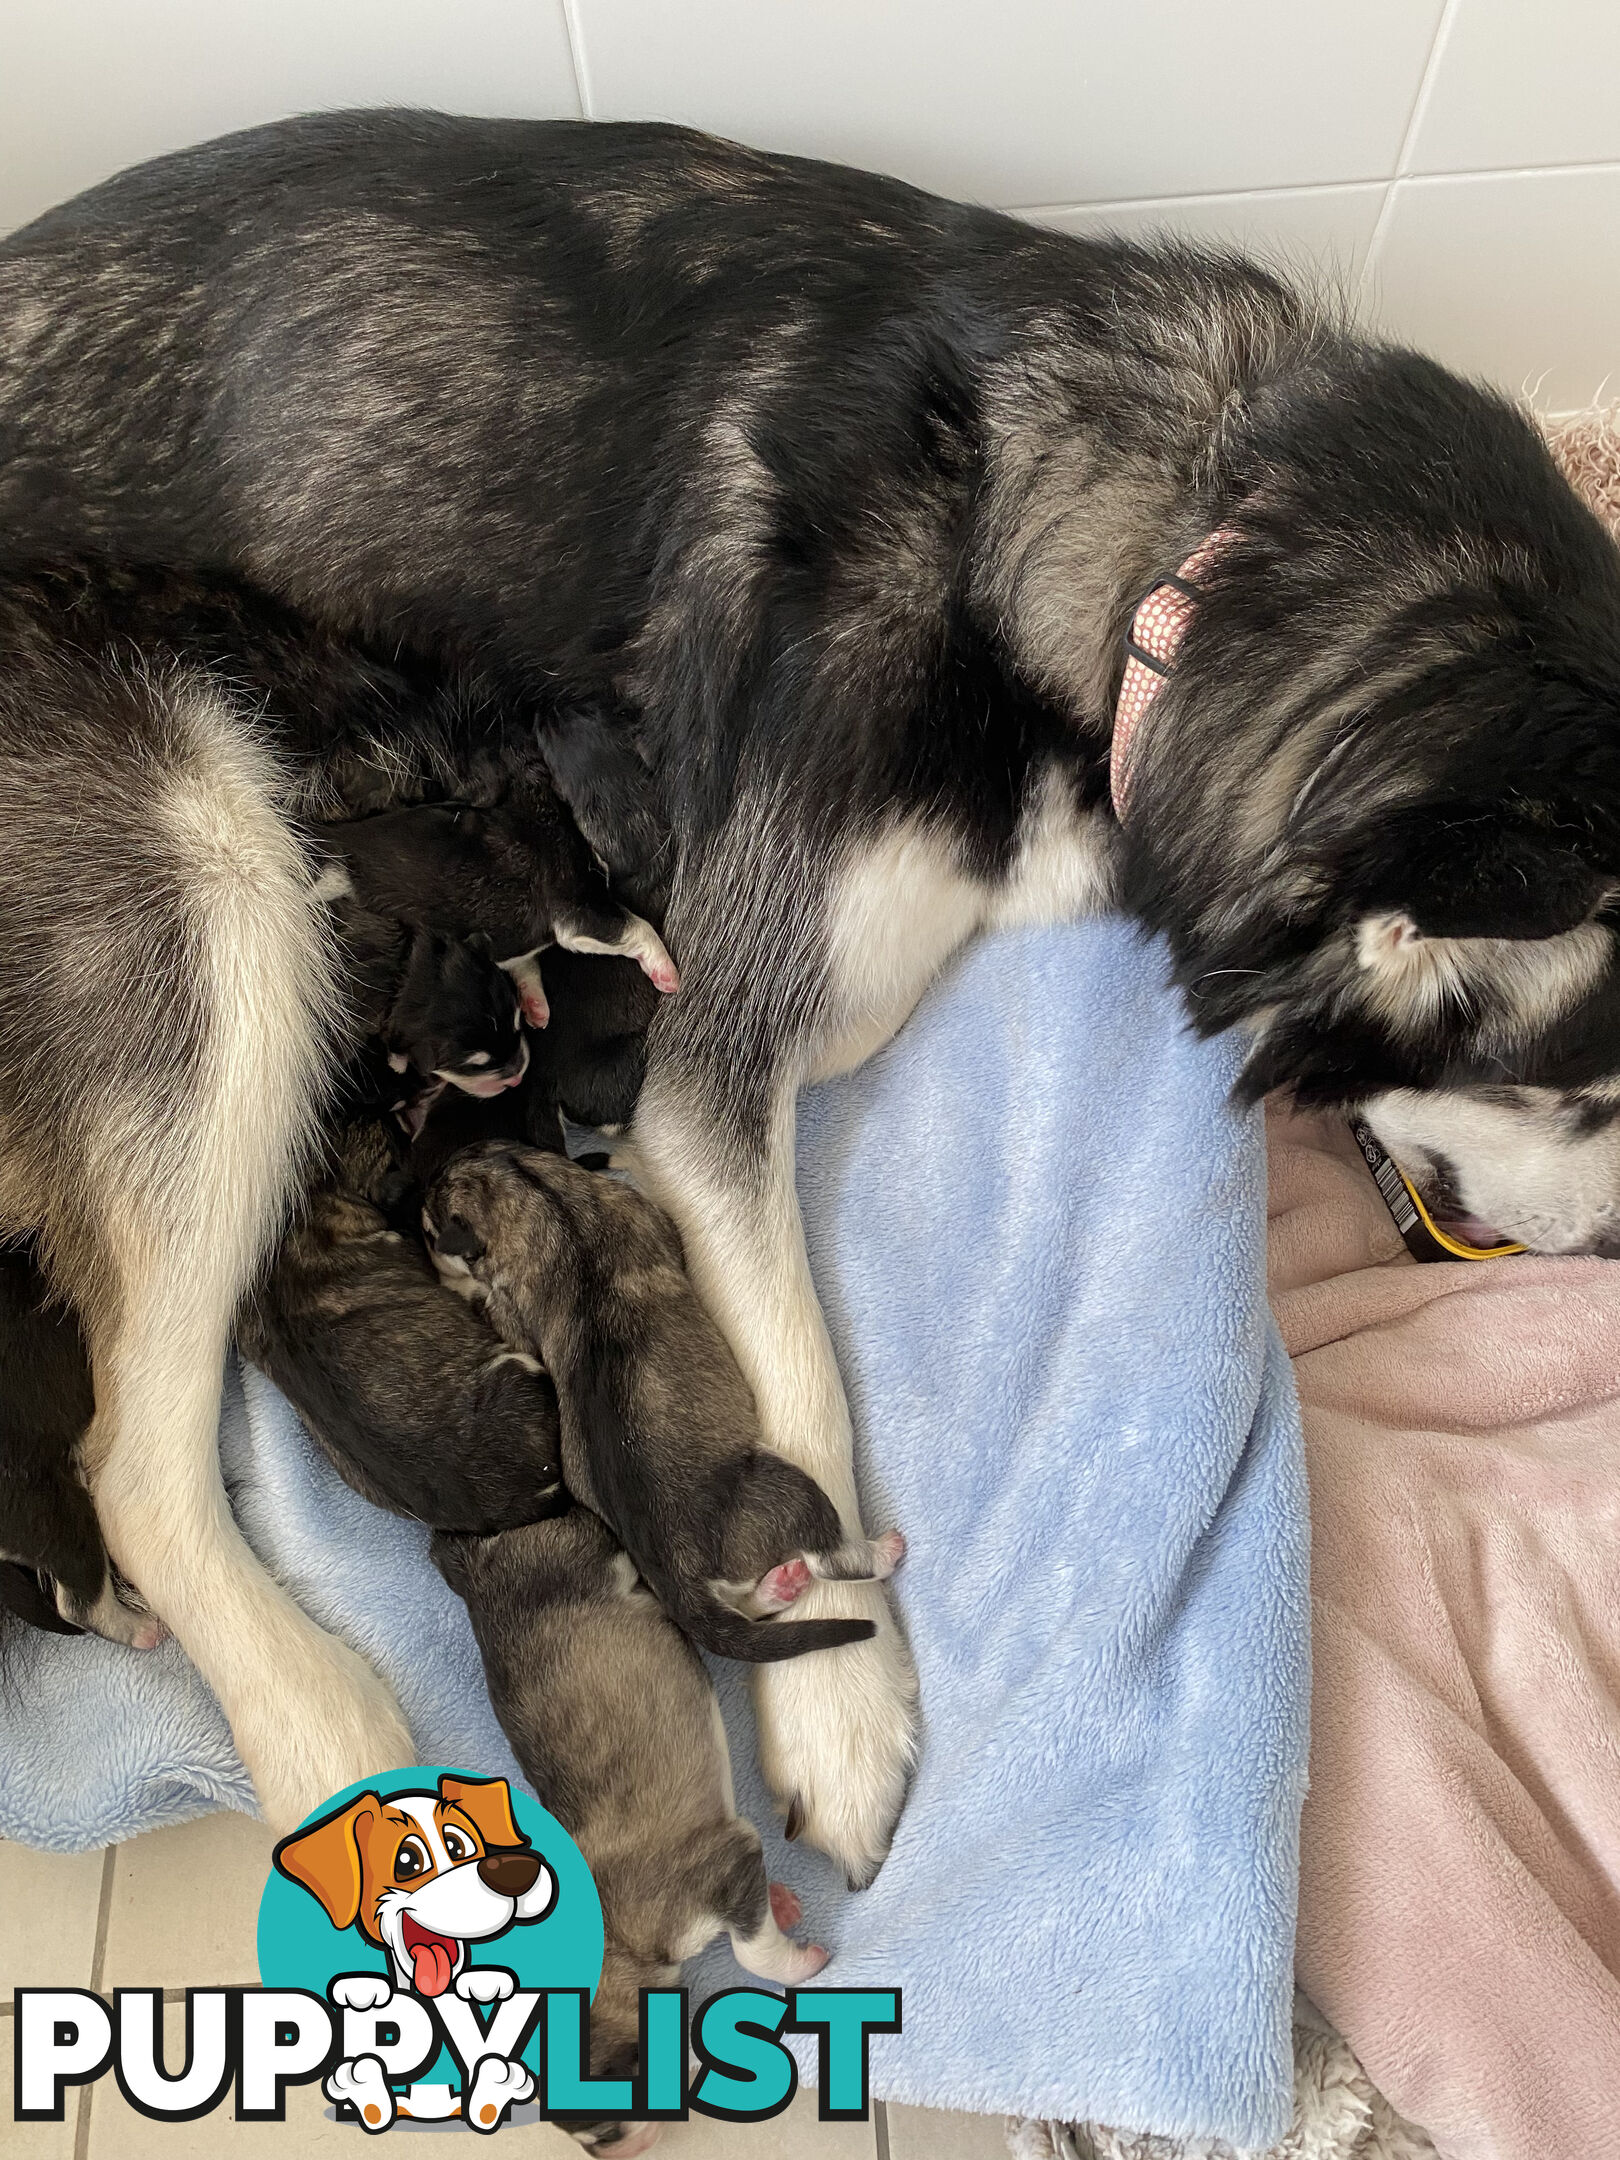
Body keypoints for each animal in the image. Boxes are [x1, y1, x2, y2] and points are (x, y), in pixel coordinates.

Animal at [425, 1149, 907, 1667]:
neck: (538, 1192)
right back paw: (882, 1551)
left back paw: (782, 1587)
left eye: (429, 1226)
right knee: (832, 1557)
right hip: (786, 1488)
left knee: (752, 1601)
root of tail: (681, 1579)